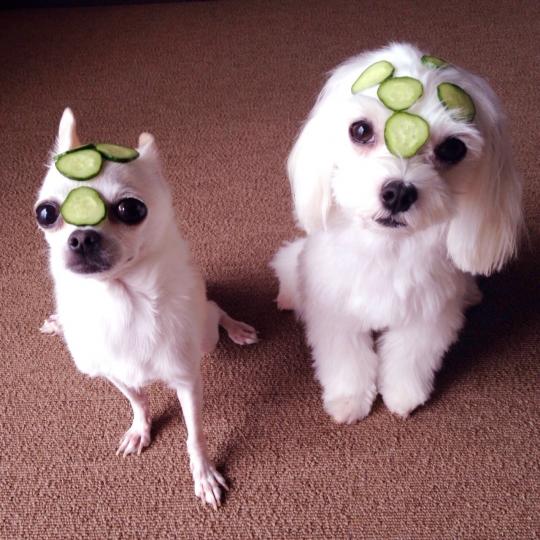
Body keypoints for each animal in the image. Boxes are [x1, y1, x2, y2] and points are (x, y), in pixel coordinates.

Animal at [35, 108, 258, 506]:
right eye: (46, 213)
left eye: (130, 209)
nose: (81, 237)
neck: (118, 301)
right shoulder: (113, 372)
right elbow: (137, 399)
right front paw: (141, 428)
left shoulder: (187, 381)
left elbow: (195, 435)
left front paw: (204, 475)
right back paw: (58, 322)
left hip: (205, 337)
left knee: (214, 308)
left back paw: (236, 327)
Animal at [272, 43, 520, 422]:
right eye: (360, 130)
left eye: (453, 148)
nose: (399, 193)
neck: (387, 248)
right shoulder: (335, 310)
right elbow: (347, 358)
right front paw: (349, 399)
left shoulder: (428, 315)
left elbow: (409, 357)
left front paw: (402, 395)